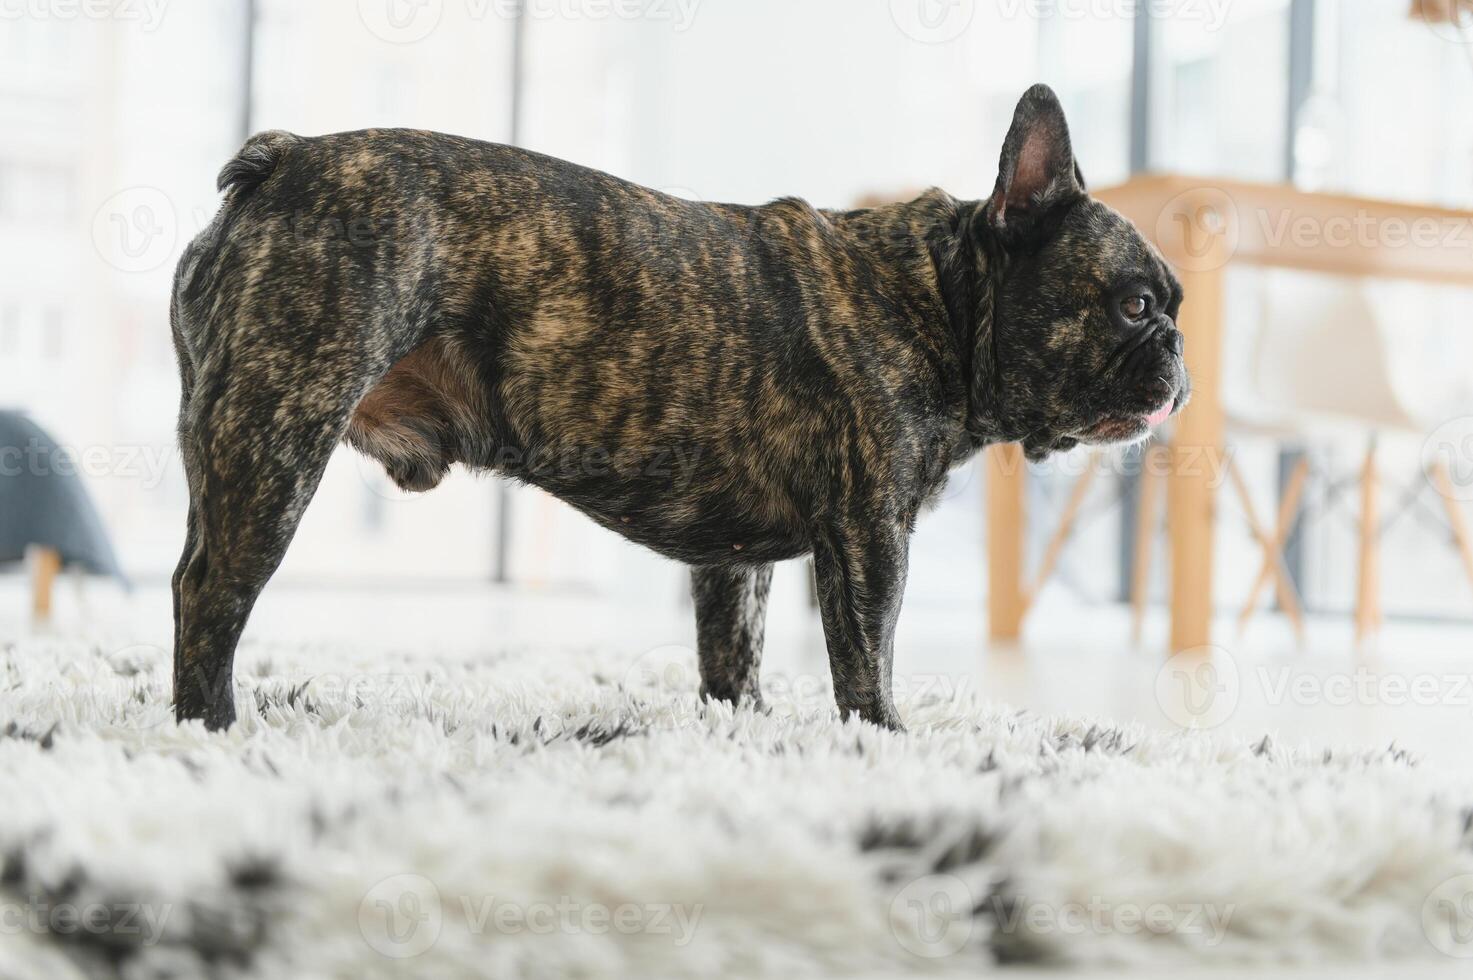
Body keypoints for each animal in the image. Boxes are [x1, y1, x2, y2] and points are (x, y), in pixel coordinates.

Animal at [169, 84, 1184, 725]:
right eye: (1137, 304)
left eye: (1170, 305)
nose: (1179, 356)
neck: (936, 294)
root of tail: (282, 159)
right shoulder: (868, 536)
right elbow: (867, 655)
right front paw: (884, 740)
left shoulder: (737, 565)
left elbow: (732, 652)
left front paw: (742, 730)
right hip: (278, 435)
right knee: (209, 592)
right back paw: (211, 727)